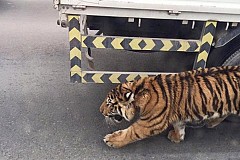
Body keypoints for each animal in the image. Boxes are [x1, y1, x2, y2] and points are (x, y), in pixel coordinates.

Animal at [99, 65, 240, 148]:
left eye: (109, 103)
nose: (100, 111)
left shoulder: (149, 124)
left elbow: (129, 133)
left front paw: (111, 140)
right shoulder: (178, 115)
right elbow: (179, 126)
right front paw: (177, 137)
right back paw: (211, 122)